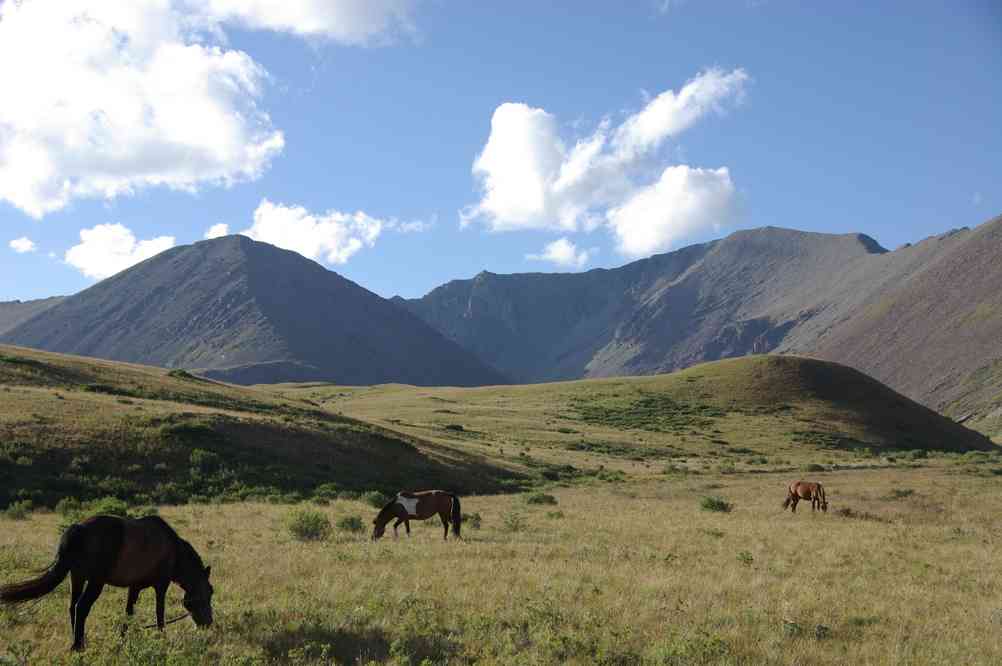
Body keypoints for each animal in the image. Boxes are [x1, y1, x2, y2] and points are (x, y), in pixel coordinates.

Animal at [0, 512, 213, 648]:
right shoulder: (161, 585)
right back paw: (77, 646)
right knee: (81, 607)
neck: (174, 551)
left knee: (72, 606)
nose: (208, 624)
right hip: (95, 582)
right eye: (209, 592)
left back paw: (80, 641)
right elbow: (159, 613)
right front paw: (162, 636)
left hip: (77, 577)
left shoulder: (134, 587)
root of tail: (78, 529)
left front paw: (123, 638)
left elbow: (128, 613)